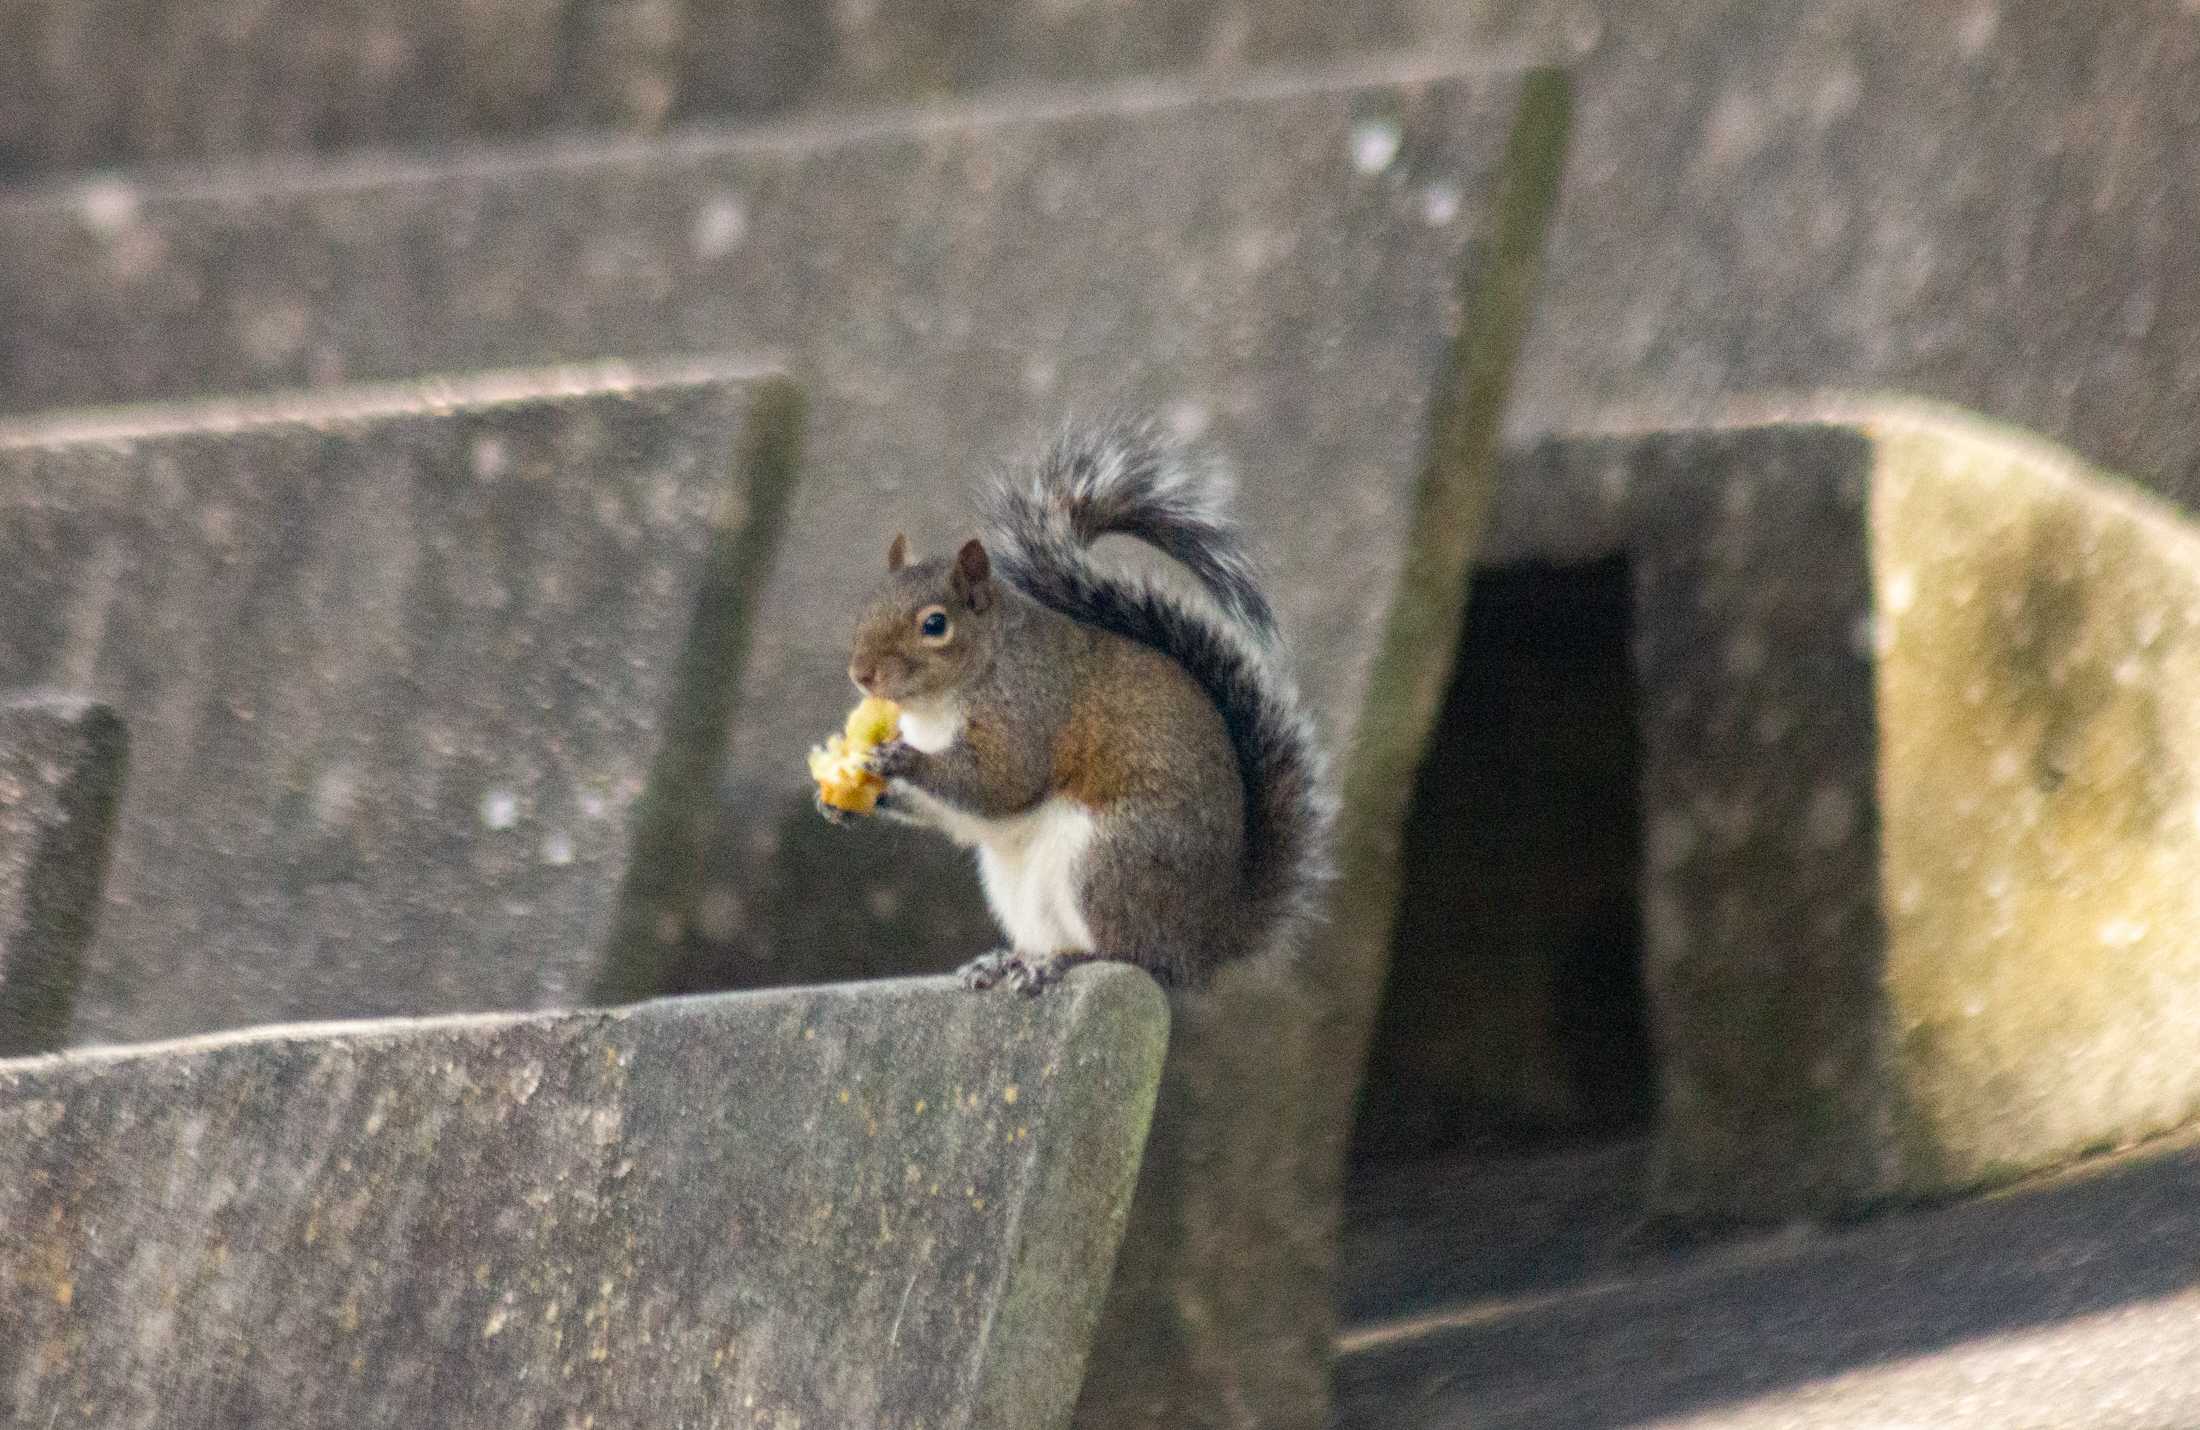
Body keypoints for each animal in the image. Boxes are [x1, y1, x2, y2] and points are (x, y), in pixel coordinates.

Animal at [827, 415, 1328, 990]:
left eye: (935, 624)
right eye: (868, 606)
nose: (861, 674)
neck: (938, 706)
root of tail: (1203, 937)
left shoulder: (1029, 711)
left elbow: (1000, 783)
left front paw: (901, 759)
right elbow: (959, 818)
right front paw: (847, 798)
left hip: (1108, 863)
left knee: (1133, 954)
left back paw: (1065, 962)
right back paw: (1009, 961)